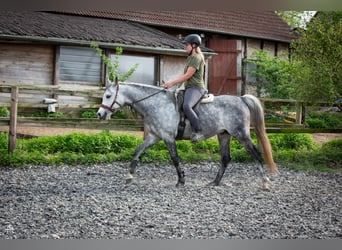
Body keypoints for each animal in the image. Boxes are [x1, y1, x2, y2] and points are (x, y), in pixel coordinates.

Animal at [96, 82, 278, 189]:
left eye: (108, 96)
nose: (100, 114)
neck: (156, 104)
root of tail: (241, 99)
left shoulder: (168, 138)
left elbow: (175, 159)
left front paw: (181, 180)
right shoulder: (154, 137)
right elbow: (137, 151)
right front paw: (129, 176)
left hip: (241, 135)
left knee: (256, 154)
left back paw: (265, 182)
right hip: (224, 135)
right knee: (226, 159)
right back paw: (214, 182)